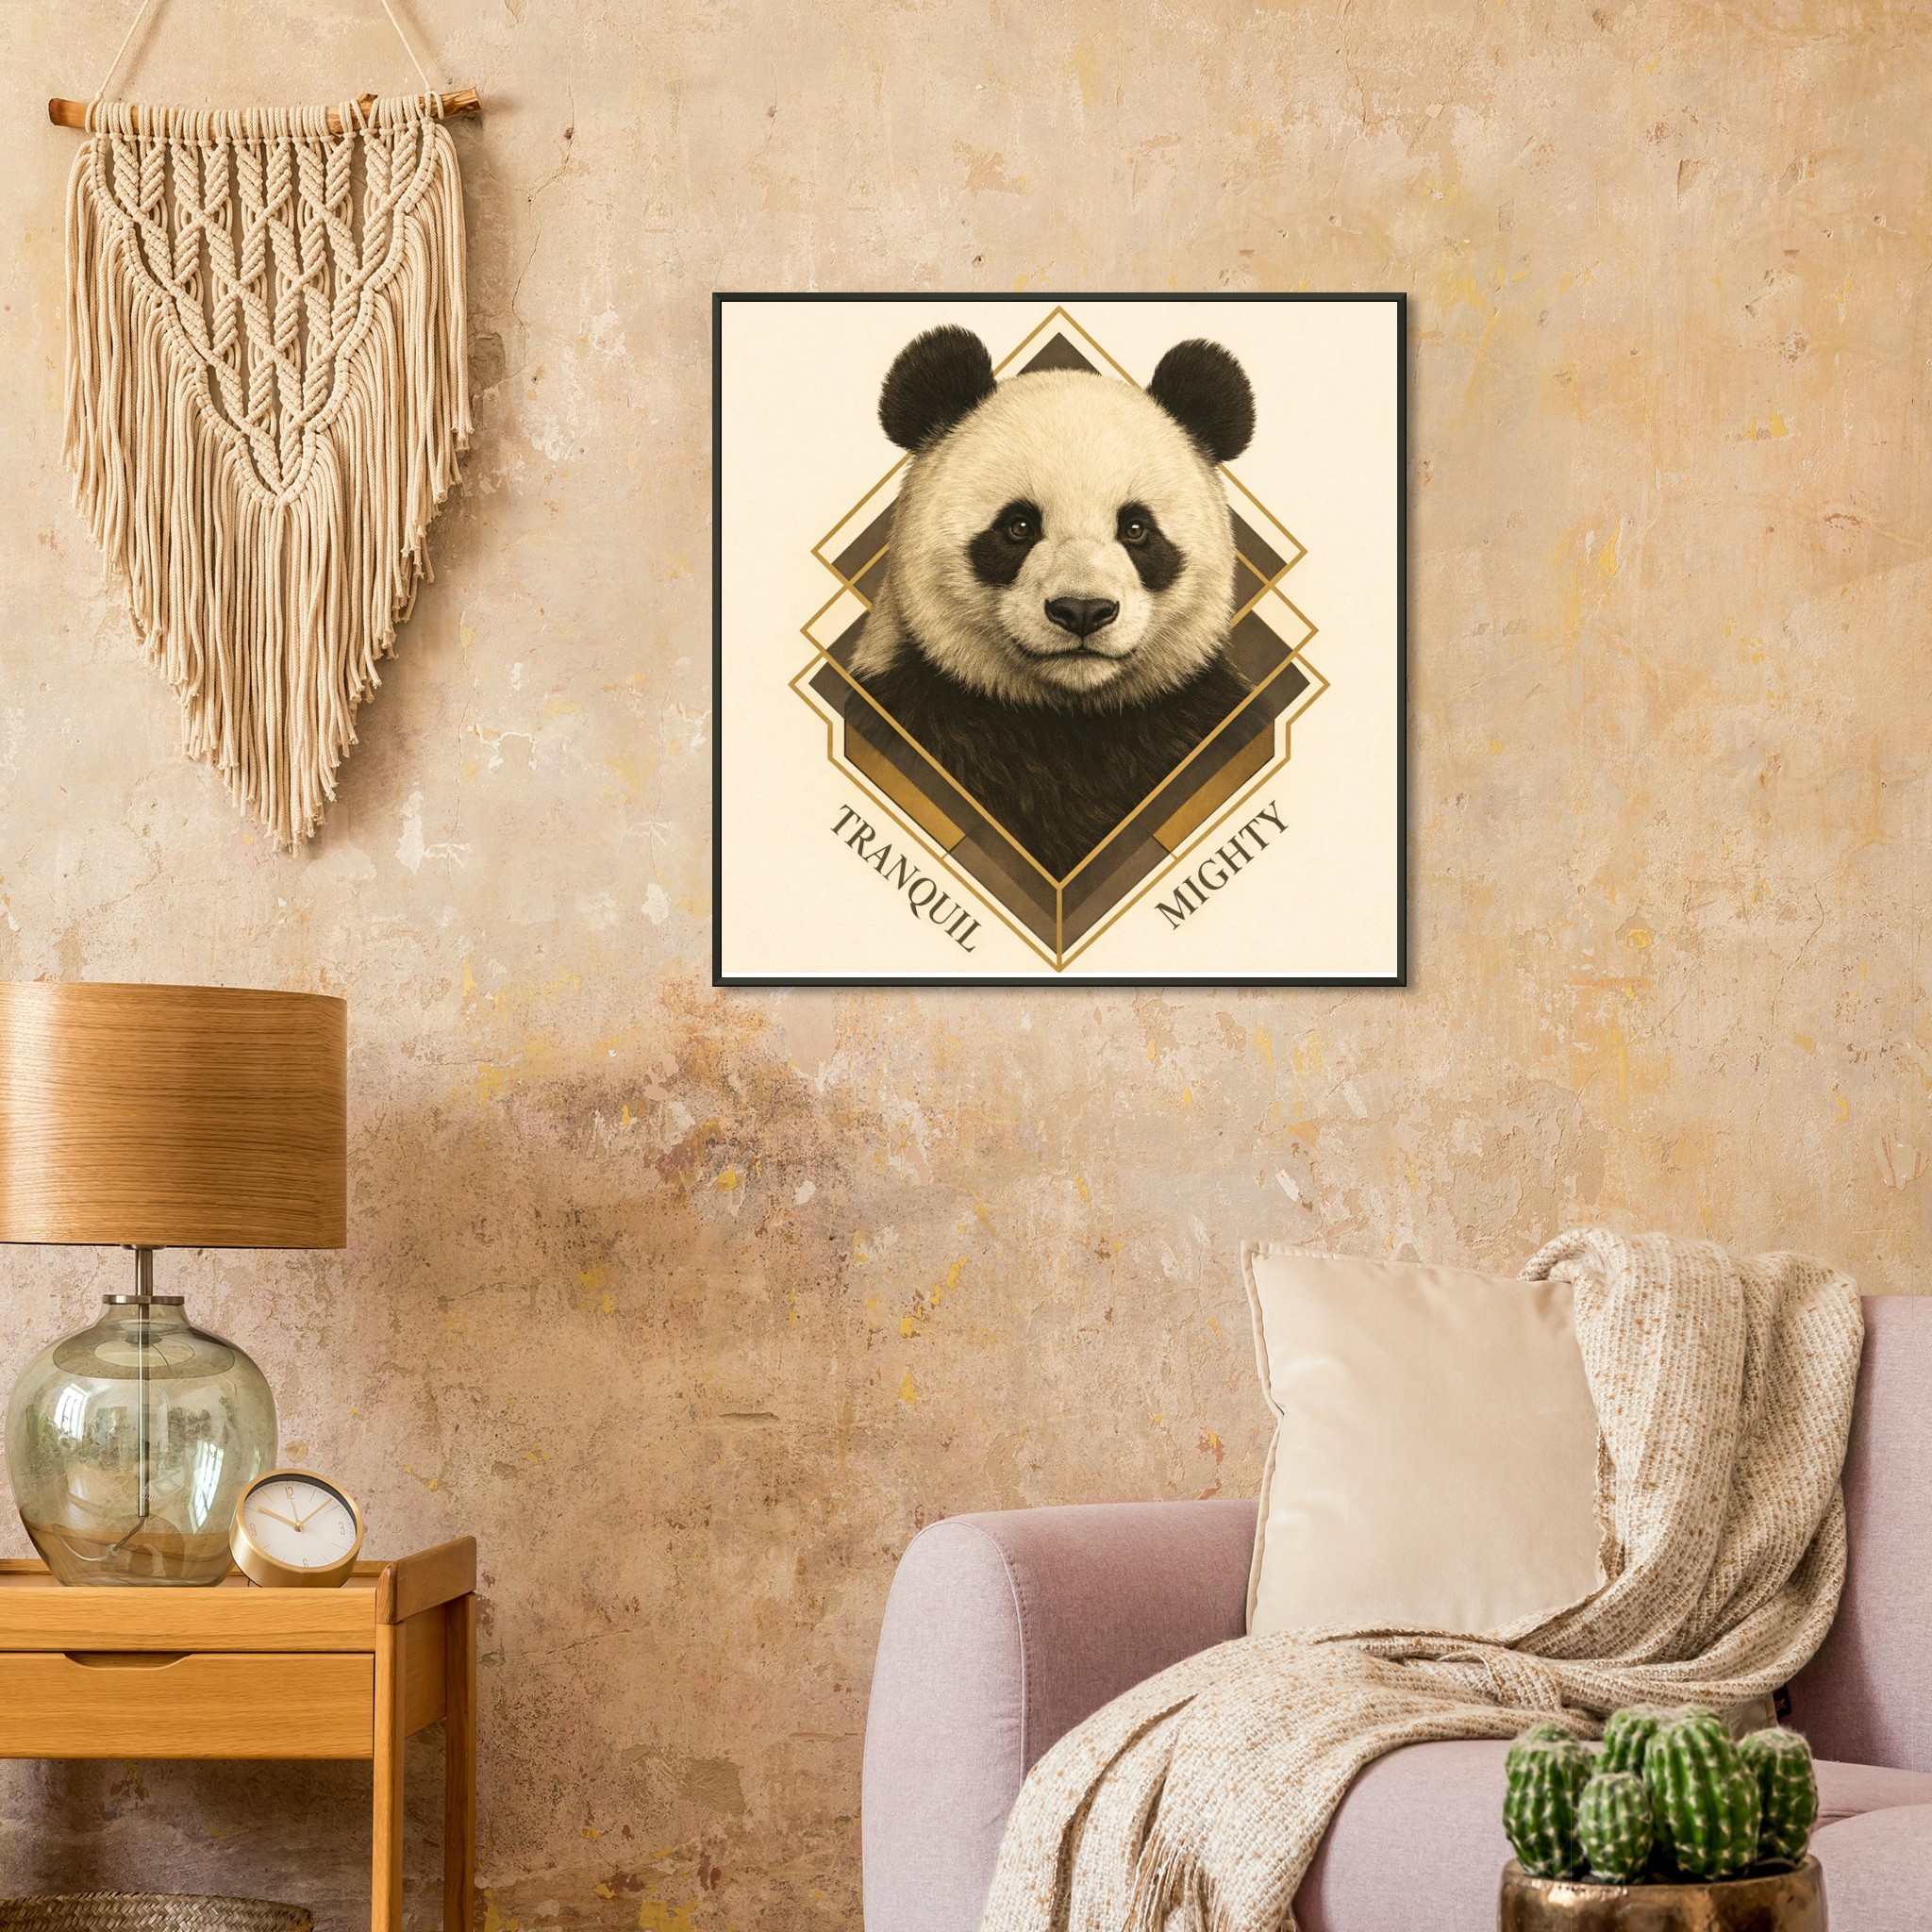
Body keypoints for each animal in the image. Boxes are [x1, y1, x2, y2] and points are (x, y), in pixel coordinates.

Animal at [851, 325, 1256, 880]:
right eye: (1019, 526)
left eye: (1136, 529)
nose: (1082, 611)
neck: (1067, 719)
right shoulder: (914, 709)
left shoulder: (1195, 718)